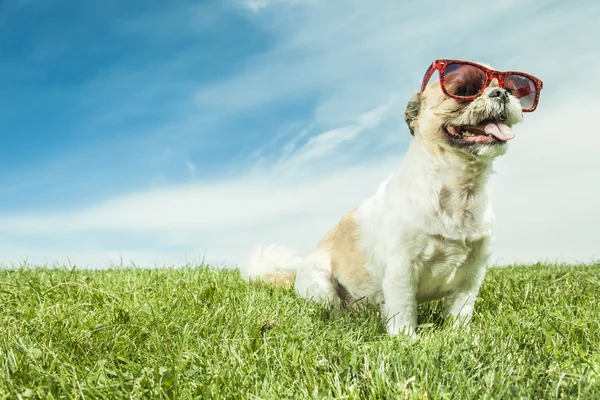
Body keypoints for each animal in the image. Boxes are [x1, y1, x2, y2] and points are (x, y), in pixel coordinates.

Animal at [239, 59, 544, 338]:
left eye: (512, 90)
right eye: (464, 90)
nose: (501, 94)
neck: (457, 190)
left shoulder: (471, 274)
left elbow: (461, 311)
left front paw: (459, 337)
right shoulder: (402, 269)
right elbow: (403, 309)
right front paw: (406, 339)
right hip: (321, 284)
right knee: (334, 309)